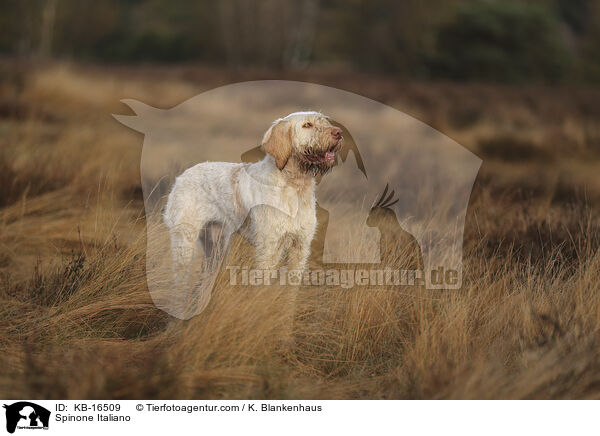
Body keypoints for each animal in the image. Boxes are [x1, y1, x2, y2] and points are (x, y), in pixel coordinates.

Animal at [164, 111, 342, 282]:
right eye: (307, 125)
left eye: (324, 121)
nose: (339, 132)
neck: (293, 186)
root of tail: (182, 176)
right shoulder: (268, 249)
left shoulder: (300, 247)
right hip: (184, 241)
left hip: (215, 244)